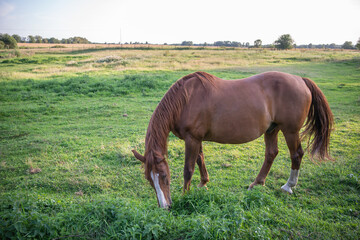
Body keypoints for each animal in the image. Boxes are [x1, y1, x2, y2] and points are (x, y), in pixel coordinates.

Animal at [132, 71, 334, 208]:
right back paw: (257, 183)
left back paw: (288, 186)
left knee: (296, 155)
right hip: (272, 129)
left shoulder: (192, 139)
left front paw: (185, 195)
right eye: (149, 179)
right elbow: (200, 160)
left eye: (164, 177)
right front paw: (203, 184)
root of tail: (300, 80)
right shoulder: (197, 139)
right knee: (271, 153)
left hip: (290, 131)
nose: (165, 207)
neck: (185, 100)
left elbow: (188, 169)